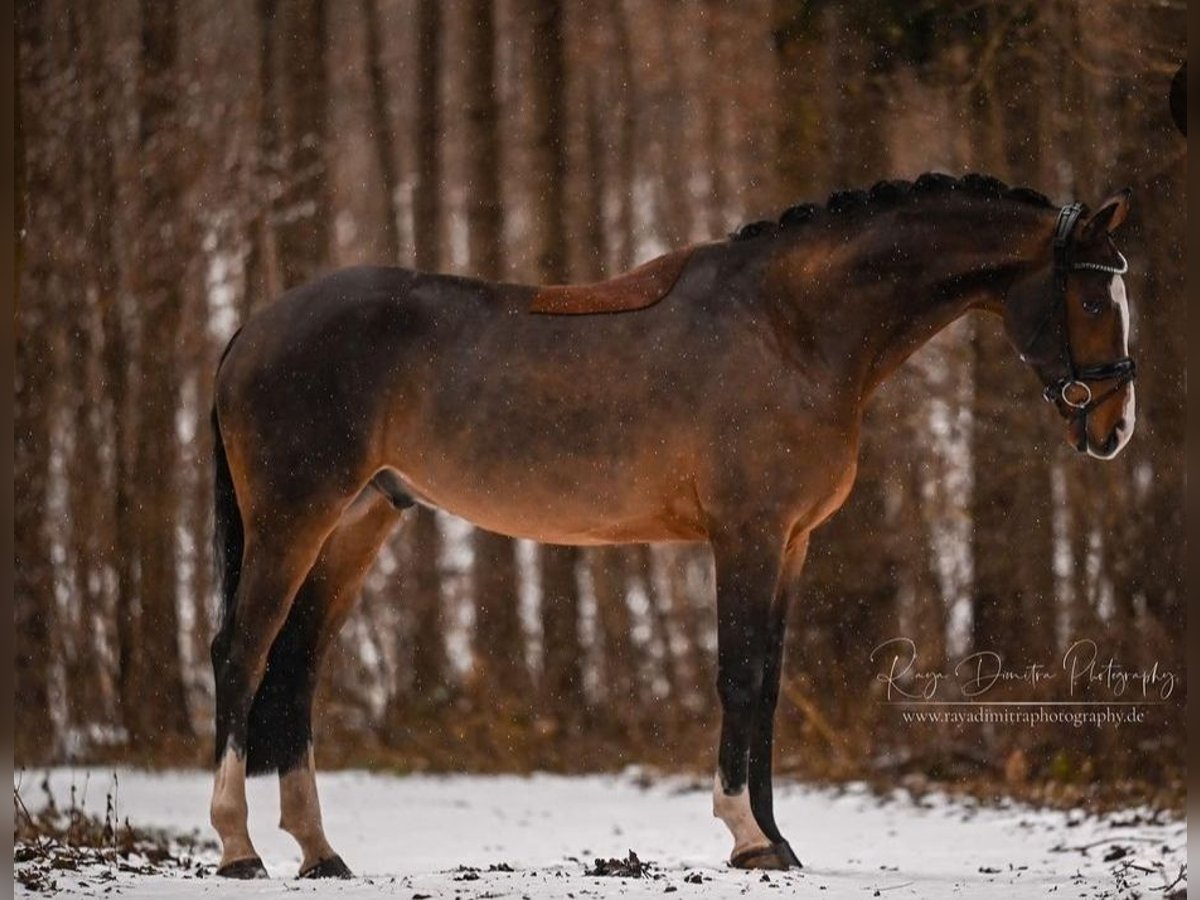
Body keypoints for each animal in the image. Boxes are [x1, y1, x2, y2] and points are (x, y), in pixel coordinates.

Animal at [206, 170, 1132, 883]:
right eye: (1092, 293)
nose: (1115, 428)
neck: (792, 328)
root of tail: (253, 326)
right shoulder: (747, 536)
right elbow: (739, 676)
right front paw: (748, 835)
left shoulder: (792, 542)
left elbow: (769, 684)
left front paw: (776, 841)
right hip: (294, 515)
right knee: (241, 653)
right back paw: (239, 848)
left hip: (359, 520)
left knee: (297, 665)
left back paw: (319, 852)